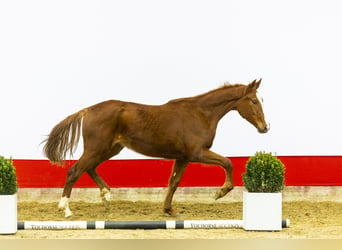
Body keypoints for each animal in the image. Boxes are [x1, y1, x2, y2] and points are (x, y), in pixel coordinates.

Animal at [42, 78, 268, 217]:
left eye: (261, 100)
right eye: (254, 101)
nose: (265, 127)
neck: (201, 114)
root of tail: (88, 110)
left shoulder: (183, 157)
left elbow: (174, 182)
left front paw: (169, 210)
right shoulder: (197, 153)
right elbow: (227, 162)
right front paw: (220, 192)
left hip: (111, 149)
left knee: (89, 168)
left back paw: (106, 195)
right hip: (97, 149)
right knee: (74, 171)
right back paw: (66, 209)